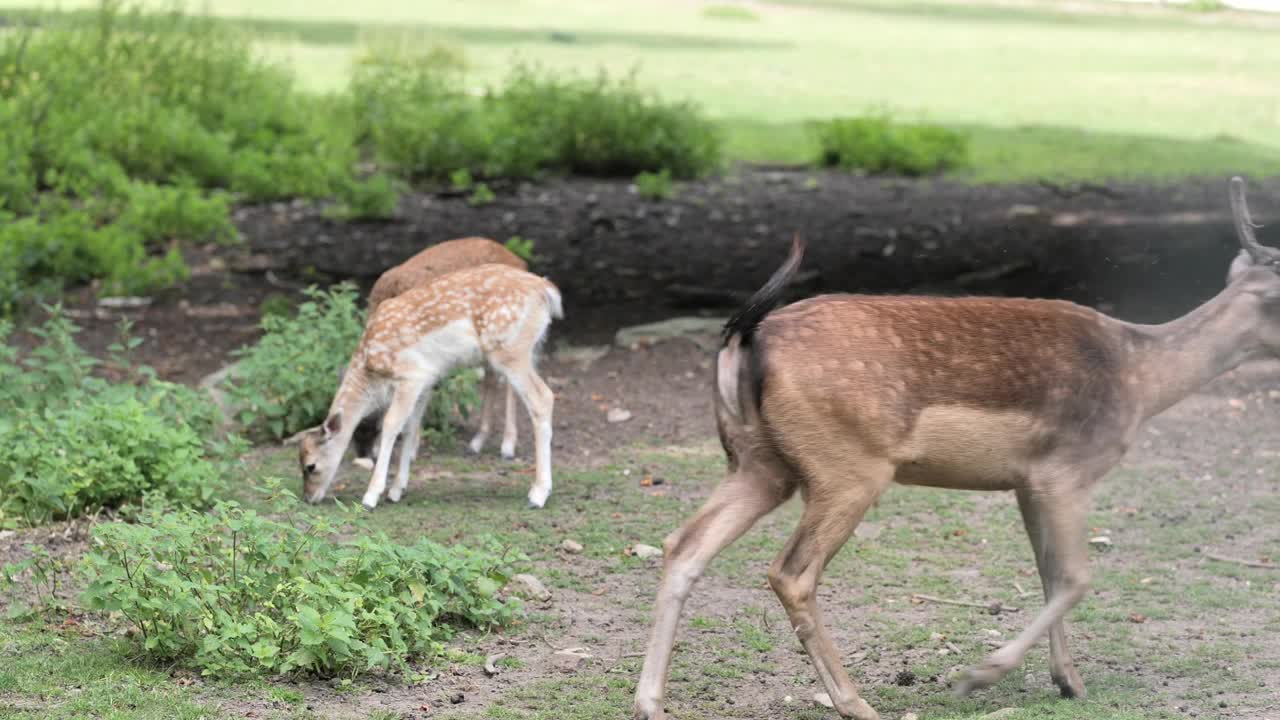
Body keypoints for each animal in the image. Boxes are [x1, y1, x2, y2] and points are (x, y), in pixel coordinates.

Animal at [299, 263, 565, 509]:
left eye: (310, 466)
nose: (308, 498)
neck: (371, 372)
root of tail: (547, 290)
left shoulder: (410, 376)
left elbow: (391, 425)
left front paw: (371, 496)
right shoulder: (426, 381)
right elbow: (410, 427)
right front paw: (397, 490)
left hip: (509, 349)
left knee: (542, 397)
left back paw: (538, 494)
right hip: (529, 350)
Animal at [343, 235, 527, 471]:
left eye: (365, 418)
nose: (364, 455)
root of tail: (522, 264)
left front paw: (411, 452)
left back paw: (507, 447)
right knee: (492, 377)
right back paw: (476, 442)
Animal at [632, 175, 1280, 717]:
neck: (1141, 380)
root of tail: (745, 338)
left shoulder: (1025, 481)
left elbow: (1048, 571)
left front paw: (1069, 681)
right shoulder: (1065, 469)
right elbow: (1075, 575)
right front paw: (979, 676)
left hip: (757, 462)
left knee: (684, 544)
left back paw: (650, 704)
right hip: (848, 468)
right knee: (790, 571)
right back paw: (856, 704)